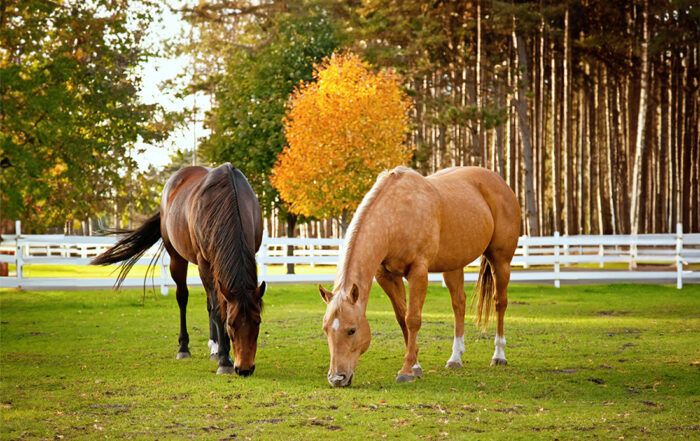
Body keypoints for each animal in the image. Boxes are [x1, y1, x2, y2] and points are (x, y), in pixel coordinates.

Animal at [92, 163, 266, 376]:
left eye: (257, 322)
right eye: (231, 324)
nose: (245, 369)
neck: (228, 197)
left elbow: (216, 306)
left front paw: (221, 353)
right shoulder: (204, 263)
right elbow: (218, 309)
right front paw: (224, 360)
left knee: (209, 302)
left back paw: (214, 347)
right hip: (177, 258)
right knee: (183, 298)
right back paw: (184, 348)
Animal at [319, 166, 521, 386]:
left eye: (352, 330)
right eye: (326, 329)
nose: (337, 378)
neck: (394, 216)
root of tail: (499, 181)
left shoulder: (418, 272)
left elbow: (413, 319)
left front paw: (407, 370)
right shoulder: (386, 276)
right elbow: (402, 317)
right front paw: (416, 365)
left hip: (500, 261)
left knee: (500, 302)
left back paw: (499, 355)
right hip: (453, 266)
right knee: (459, 304)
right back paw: (455, 358)